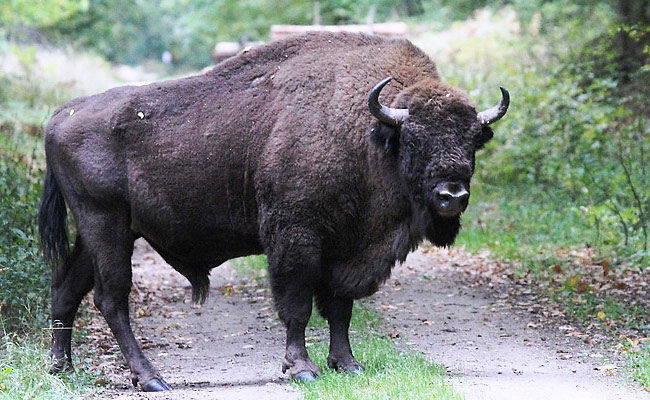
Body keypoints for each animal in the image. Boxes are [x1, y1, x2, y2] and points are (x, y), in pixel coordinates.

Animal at [39, 31, 506, 390]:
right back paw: (152, 378)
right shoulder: (296, 237)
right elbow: (297, 305)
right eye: (413, 139)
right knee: (111, 297)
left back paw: (62, 369)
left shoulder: (347, 248)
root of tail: (60, 115)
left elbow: (340, 308)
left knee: (66, 288)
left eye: (472, 140)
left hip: (100, 231)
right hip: (106, 224)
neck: (369, 132)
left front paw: (348, 364)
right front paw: (303, 369)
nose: (451, 195)